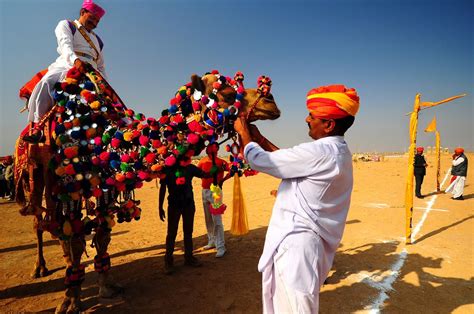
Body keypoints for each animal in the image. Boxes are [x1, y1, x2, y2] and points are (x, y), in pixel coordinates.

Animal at [14, 66, 280, 312]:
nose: (271, 100)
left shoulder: (107, 190)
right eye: (226, 91)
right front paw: (70, 301)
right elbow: (76, 242)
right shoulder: (69, 189)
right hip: (41, 183)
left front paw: (107, 286)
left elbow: (102, 237)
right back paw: (40, 268)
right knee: (41, 225)